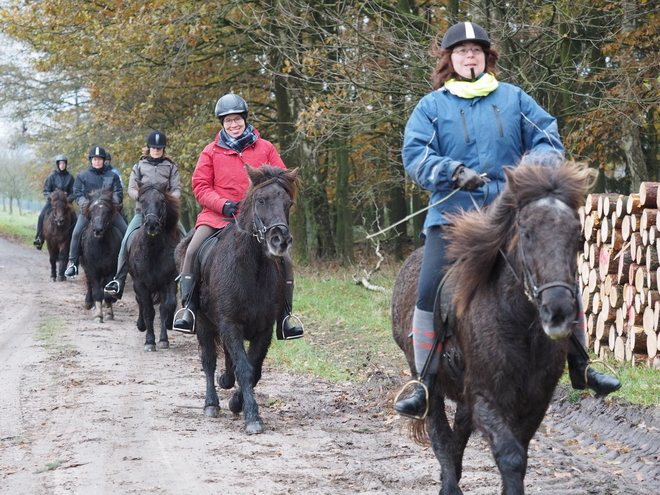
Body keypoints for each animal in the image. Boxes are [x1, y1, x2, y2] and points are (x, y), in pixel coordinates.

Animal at [80, 189, 122, 322]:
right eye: (92, 210)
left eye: (107, 211)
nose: (98, 230)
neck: (100, 246)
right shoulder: (92, 270)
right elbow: (97, 292)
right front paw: (98, 315)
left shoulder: (111, 271)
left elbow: (106, 293)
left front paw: (109, 313)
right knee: (89, 284)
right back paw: (89, 303)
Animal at [128, 183, 183, 352]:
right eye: (142, 200)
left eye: (162, 201)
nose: (152, 225)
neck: (153, 250)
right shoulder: (141, 284)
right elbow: (148, 311)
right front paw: (149, 342)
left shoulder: (170, 281)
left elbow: (168, 306)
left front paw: (167, 331)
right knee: (140, 302)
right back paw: (141, 326)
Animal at [175, 166, 300, 434]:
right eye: (261, 200)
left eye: (288, 203)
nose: (280, 240)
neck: (253, 269)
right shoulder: (230, 324)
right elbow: (244, 368)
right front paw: (252, 416)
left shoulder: (264, 328)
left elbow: (254, 369)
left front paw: (237, 402)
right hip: (203, 322)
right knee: (209, 361)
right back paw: (211, 403)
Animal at [392, 162, 600, 495]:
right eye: (526, 233)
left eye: (576, 235)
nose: (558, 312)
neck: (520, 326)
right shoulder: (485, 398)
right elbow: (510, 455)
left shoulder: (535, 401)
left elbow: (518, 454)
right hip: (428, 382)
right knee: (439, 432)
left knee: (458, 433)